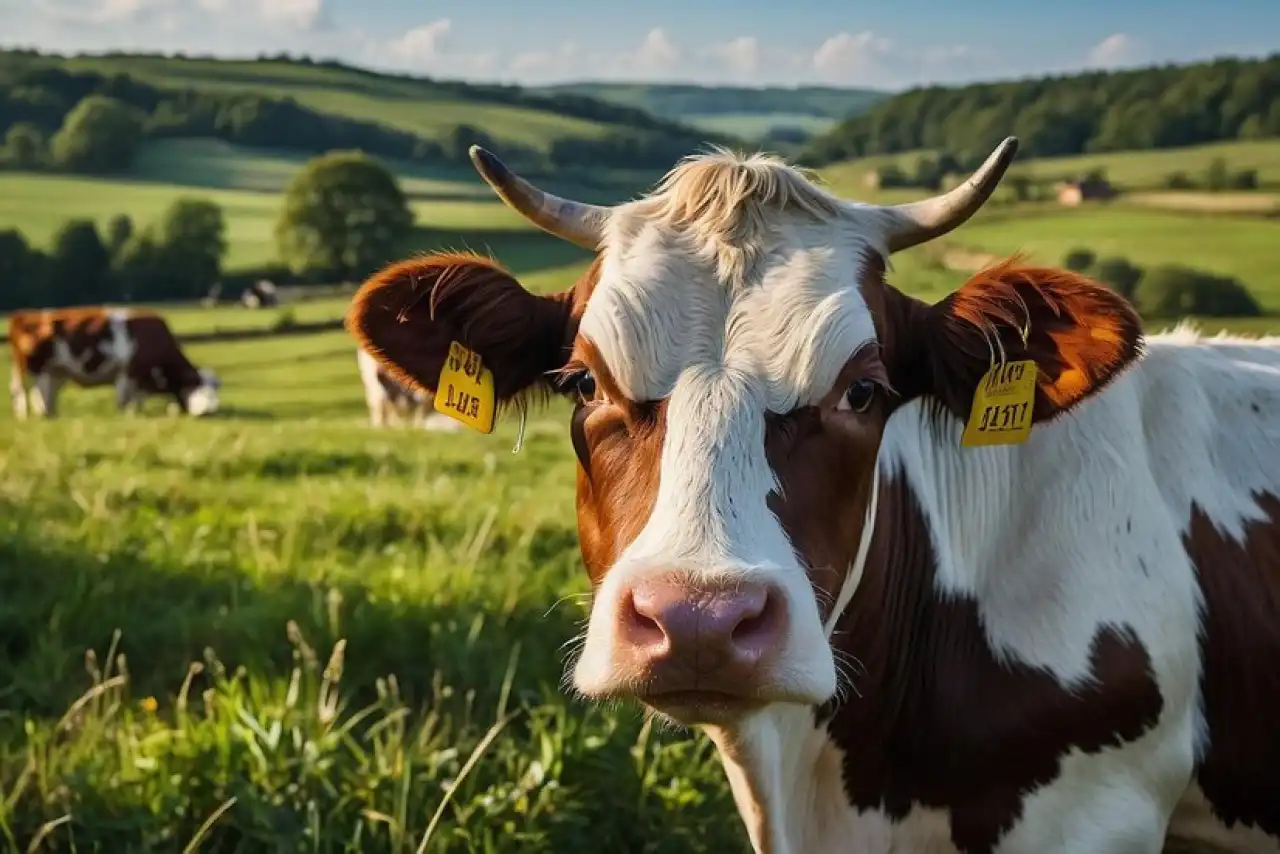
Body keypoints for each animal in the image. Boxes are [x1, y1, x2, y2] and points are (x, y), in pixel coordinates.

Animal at [7, 308, 220, 419]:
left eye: (216, 390)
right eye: (197, 387)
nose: (211, 410)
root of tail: (24, 315)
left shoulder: (139, 379)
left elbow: (136, 399)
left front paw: (136, 412)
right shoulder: (127, 373)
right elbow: (123, 399)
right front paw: (126, 415)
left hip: (55, 371)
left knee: (43, 394)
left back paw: (50, 415)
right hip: (36, 370)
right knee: (31, 393)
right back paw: (33, 416)